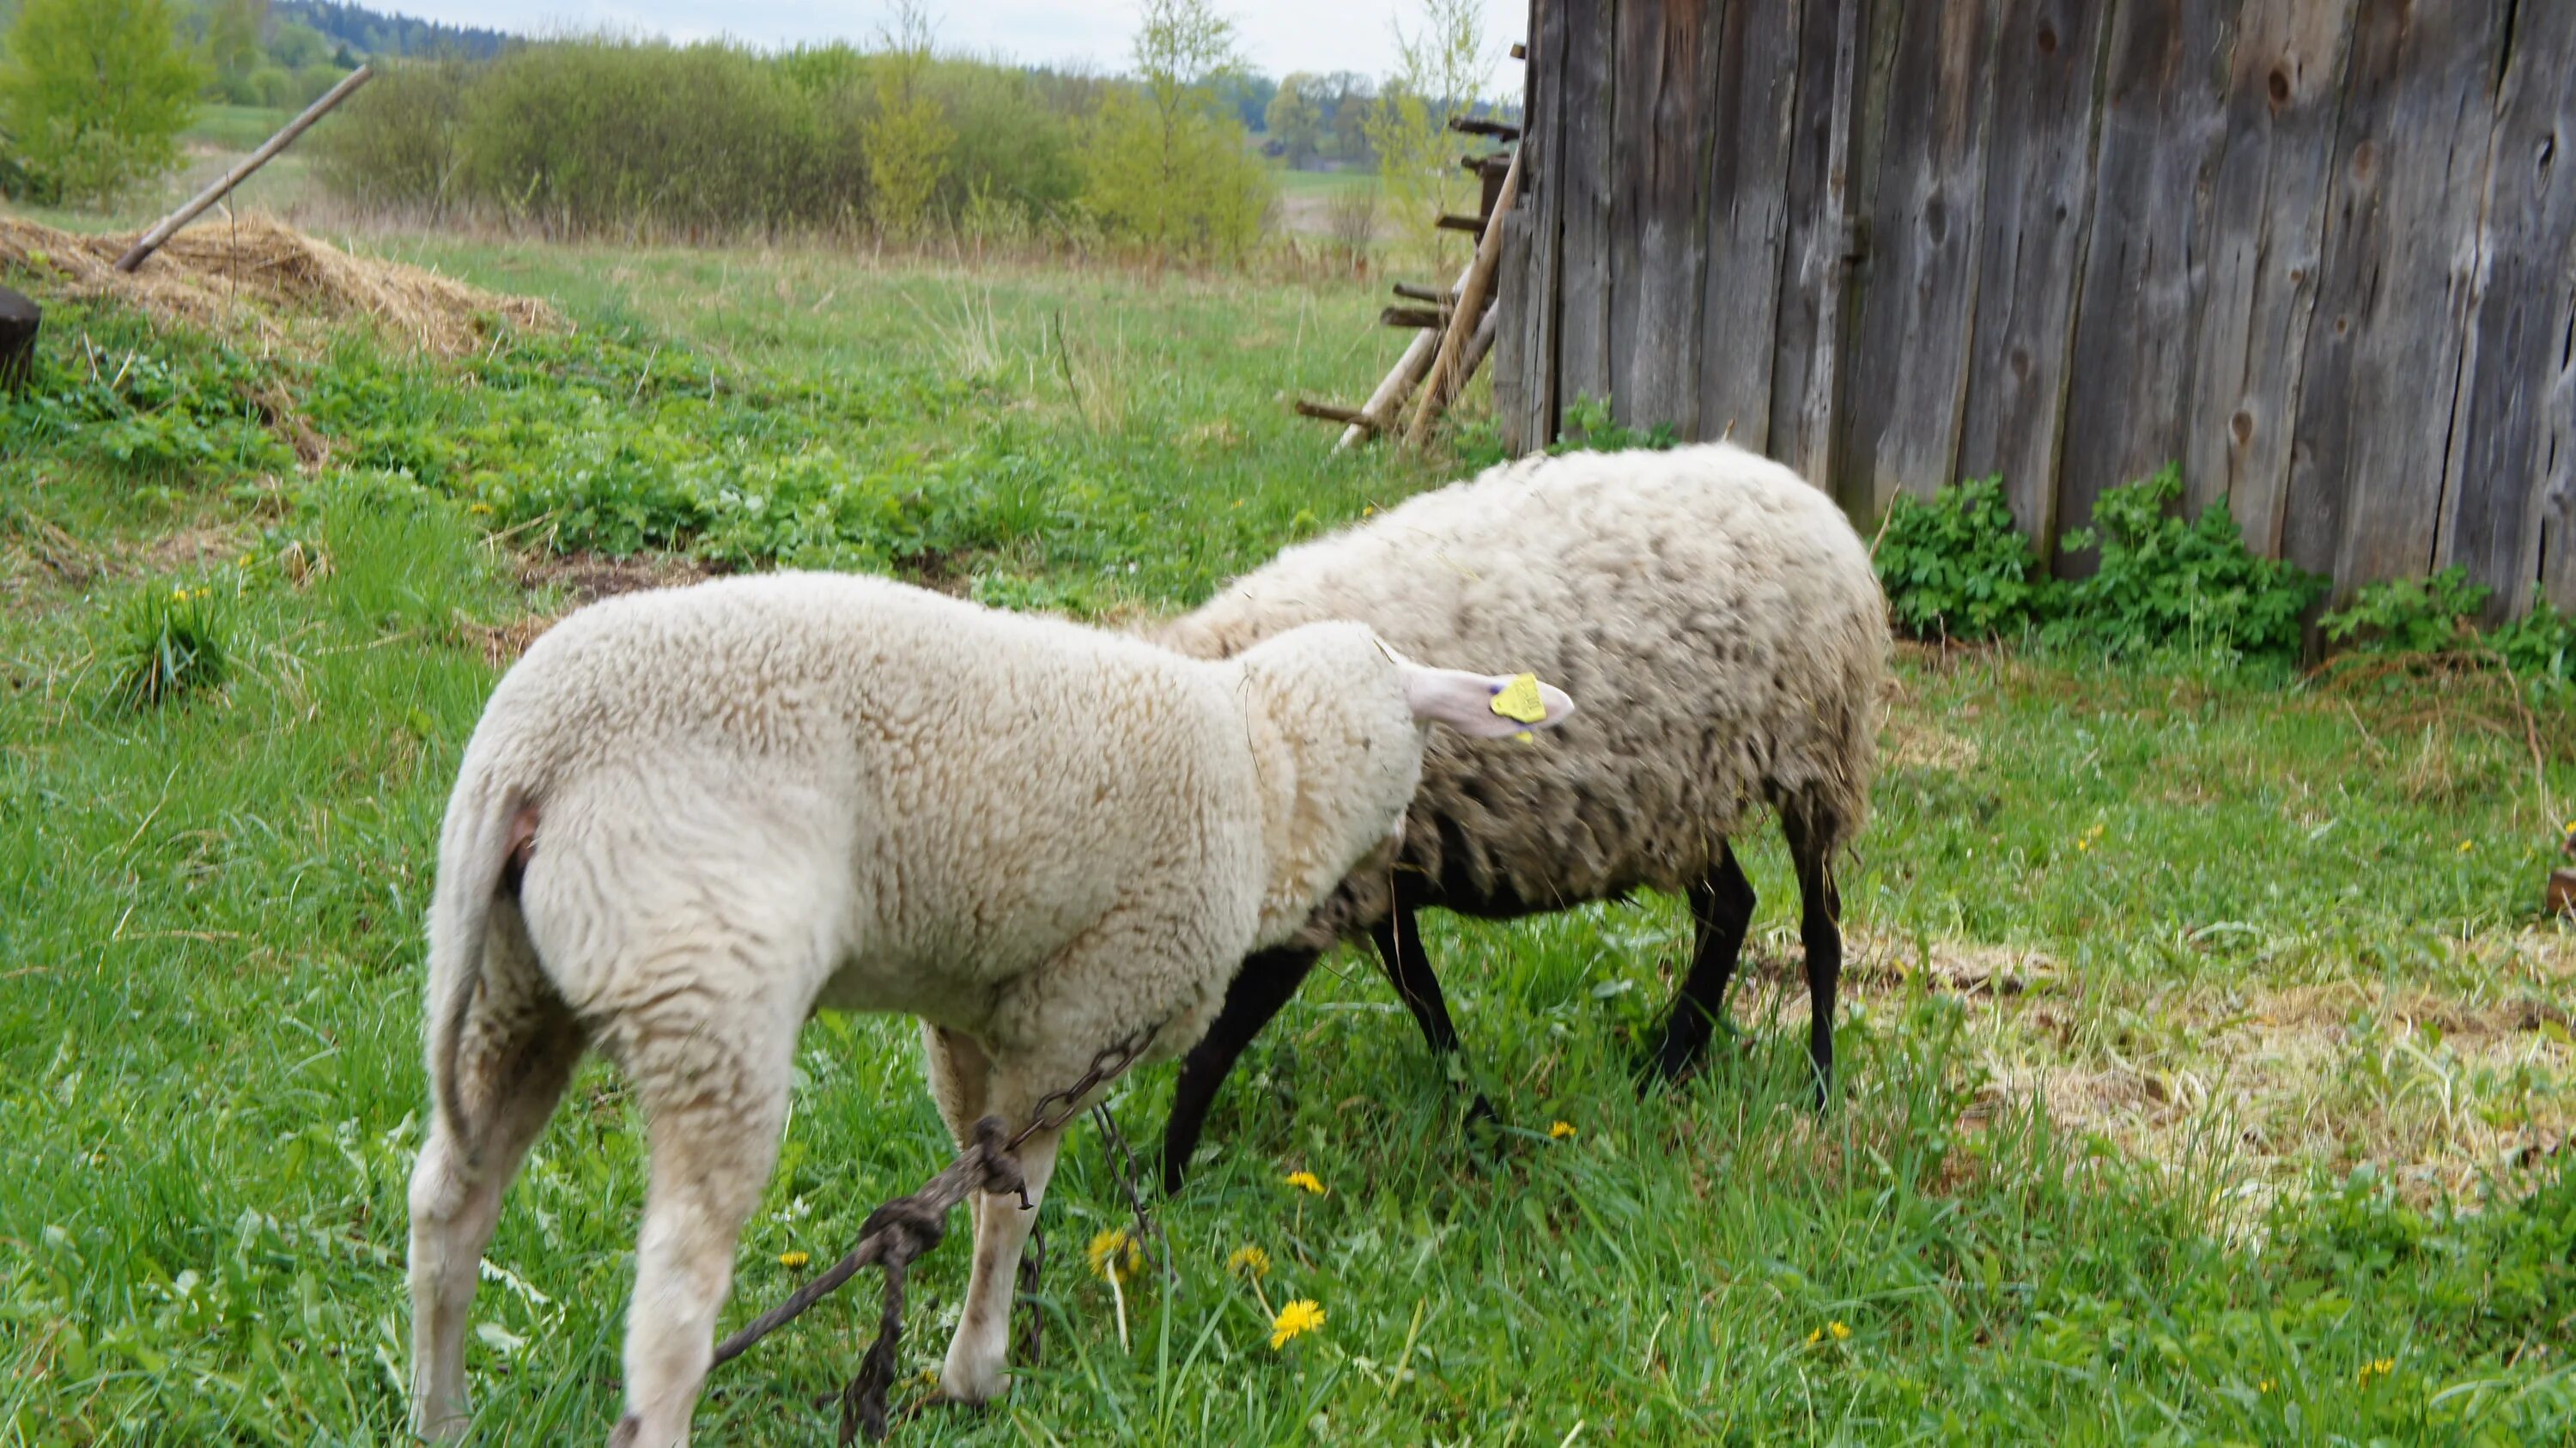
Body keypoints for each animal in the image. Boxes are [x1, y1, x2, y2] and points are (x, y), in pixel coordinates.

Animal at [402, 569, 1566, 1433]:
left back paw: (441, 1415)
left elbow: (972, 1178)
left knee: (449, 1207)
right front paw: (978, 1373)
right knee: (671, 1317)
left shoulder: (973, 1015)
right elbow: (1015, 1206)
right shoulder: (1082, 1012)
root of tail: (532, 754)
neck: (1262, 775)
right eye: (1417, 743)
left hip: (509, 982)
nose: (1400, 851)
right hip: (702, 980)